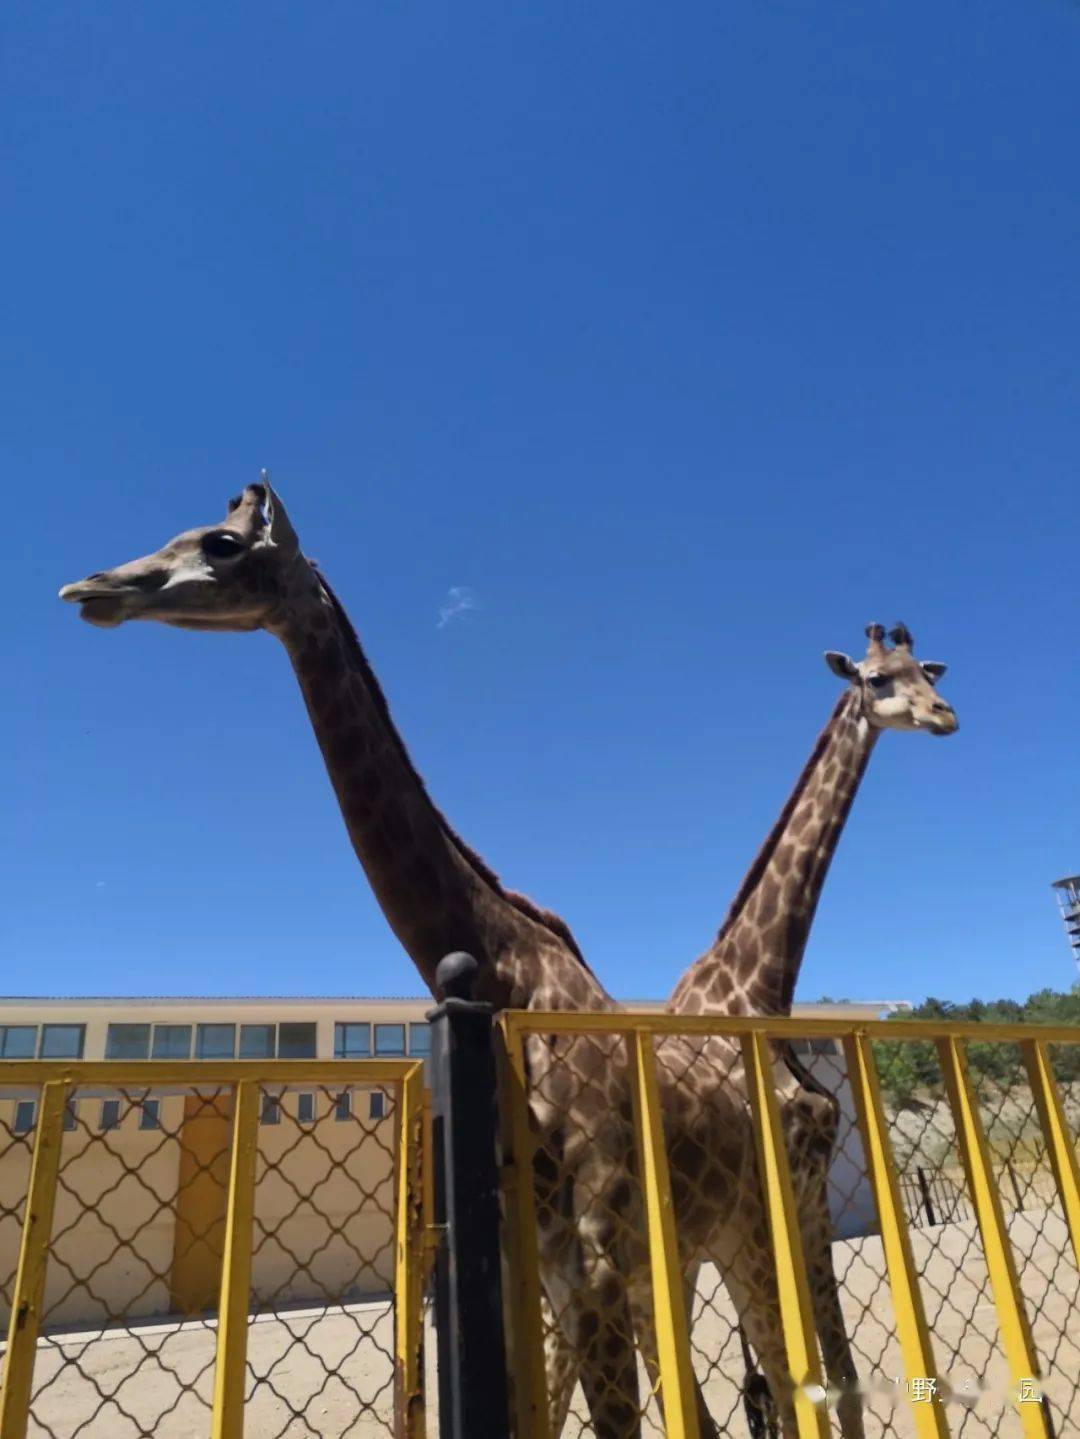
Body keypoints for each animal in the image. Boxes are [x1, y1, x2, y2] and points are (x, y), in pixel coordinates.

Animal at [667, 621, 960, 1439]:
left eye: (926, 673)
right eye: (876, 678)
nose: (944, 715)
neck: (762, 987)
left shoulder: (811, 1188)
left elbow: (840, 1373)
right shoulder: (766, 1196)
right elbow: (796, 1376)